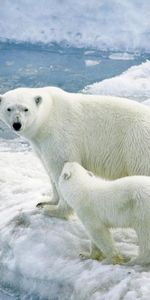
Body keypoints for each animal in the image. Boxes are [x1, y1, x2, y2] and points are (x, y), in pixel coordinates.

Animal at [0, 86, 150, 218]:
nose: (17, 124)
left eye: (26, 109)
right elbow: (49, 170)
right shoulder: (40, 145)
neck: (47, 116)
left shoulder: (59, 135)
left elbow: (61, 167)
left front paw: (54, 210)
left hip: (137, 144)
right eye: (9, 108)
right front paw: (45, 202)